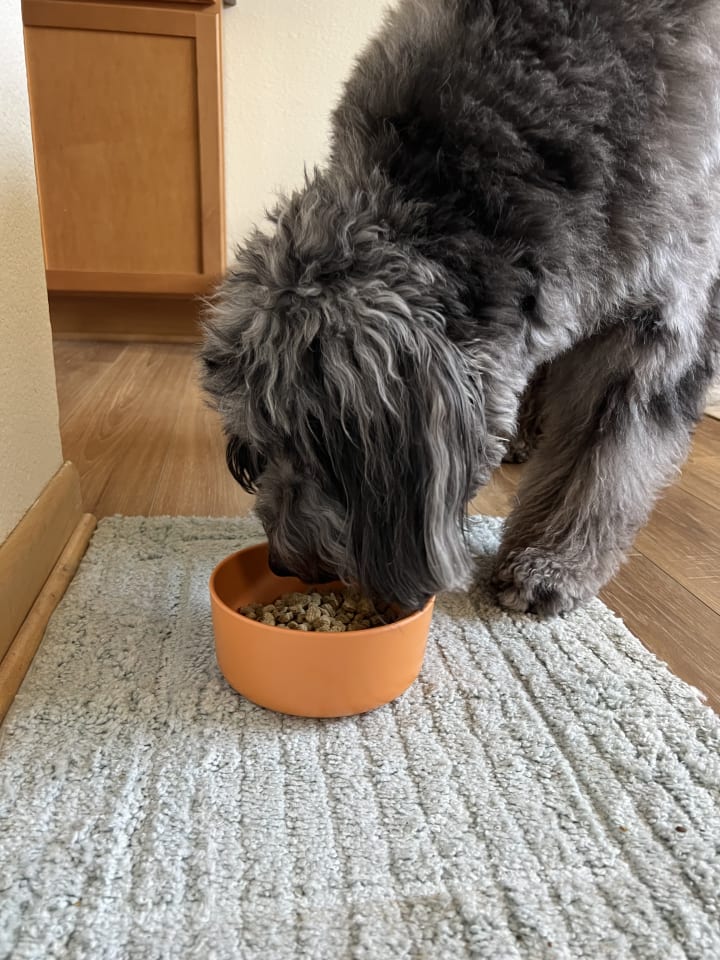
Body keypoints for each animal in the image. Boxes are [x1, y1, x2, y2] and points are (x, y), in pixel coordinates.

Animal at [201, 0, 720, 615]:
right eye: (259, 443)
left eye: (319, 448)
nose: (282, 562)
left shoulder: (650, 324)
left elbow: (602, 462)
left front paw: (550, 564)